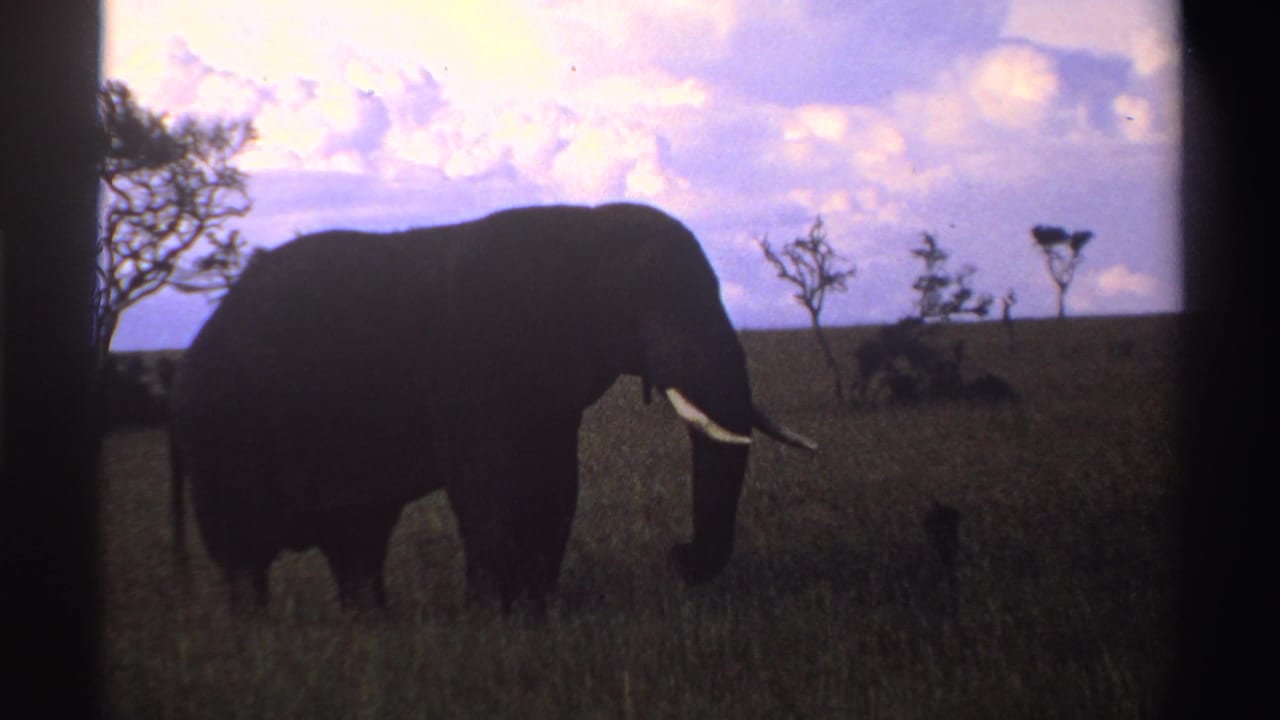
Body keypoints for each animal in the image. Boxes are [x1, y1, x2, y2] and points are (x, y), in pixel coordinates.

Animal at [169, 202, 816, 613]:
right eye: (650, 299)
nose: (677, 558)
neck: (585, 229)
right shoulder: (467, 360)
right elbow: (489, 483)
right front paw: (492, 621)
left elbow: (555, 483)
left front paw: (536, 613)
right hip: (226, 428)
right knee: (245, 555)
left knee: (357, 540)